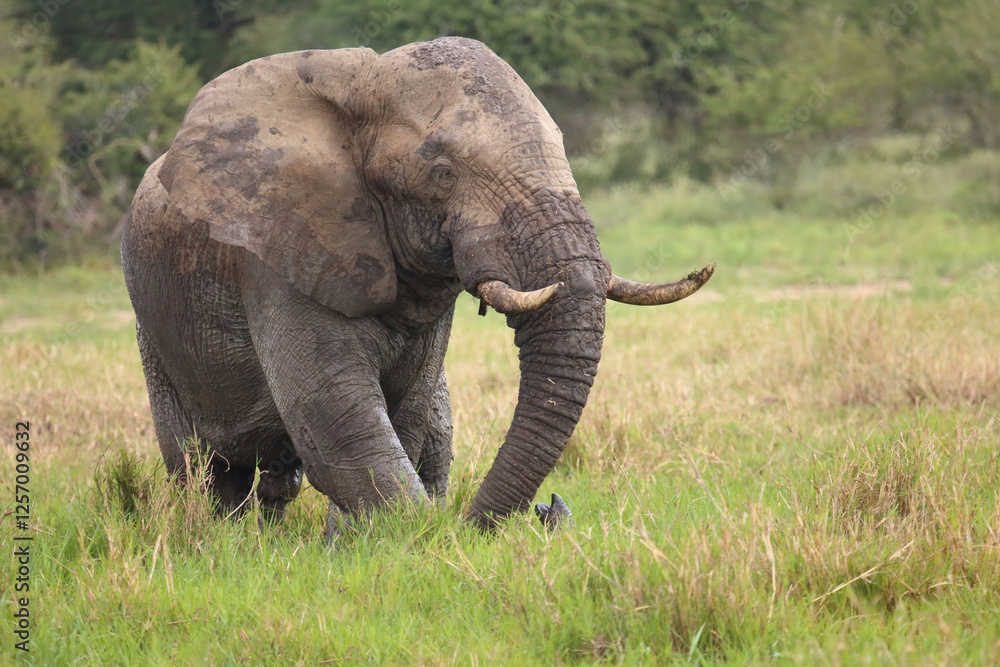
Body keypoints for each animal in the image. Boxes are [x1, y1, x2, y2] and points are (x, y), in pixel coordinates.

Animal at [121, 36, 714, 539]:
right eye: (443, 173)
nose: (547, 507)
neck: (363, 82)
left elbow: (405, 411)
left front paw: (353, 544)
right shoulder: (275, 256)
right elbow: (339, 418)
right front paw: (406, 537)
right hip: (155, 335)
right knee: (203, 466)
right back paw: (228, 538)